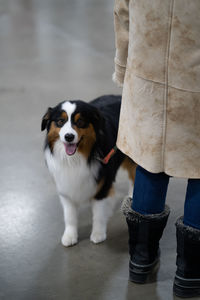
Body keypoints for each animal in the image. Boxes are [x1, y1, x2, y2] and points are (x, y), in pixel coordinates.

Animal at [41, 95, 137, 247]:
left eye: (80, 122)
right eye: (60, 121)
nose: (69, 137)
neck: (76, 158)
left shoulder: (102, 186)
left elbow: (98, 214)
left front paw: (98, 234)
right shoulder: (65, 186)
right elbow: (69, 215)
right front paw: (70, 236)